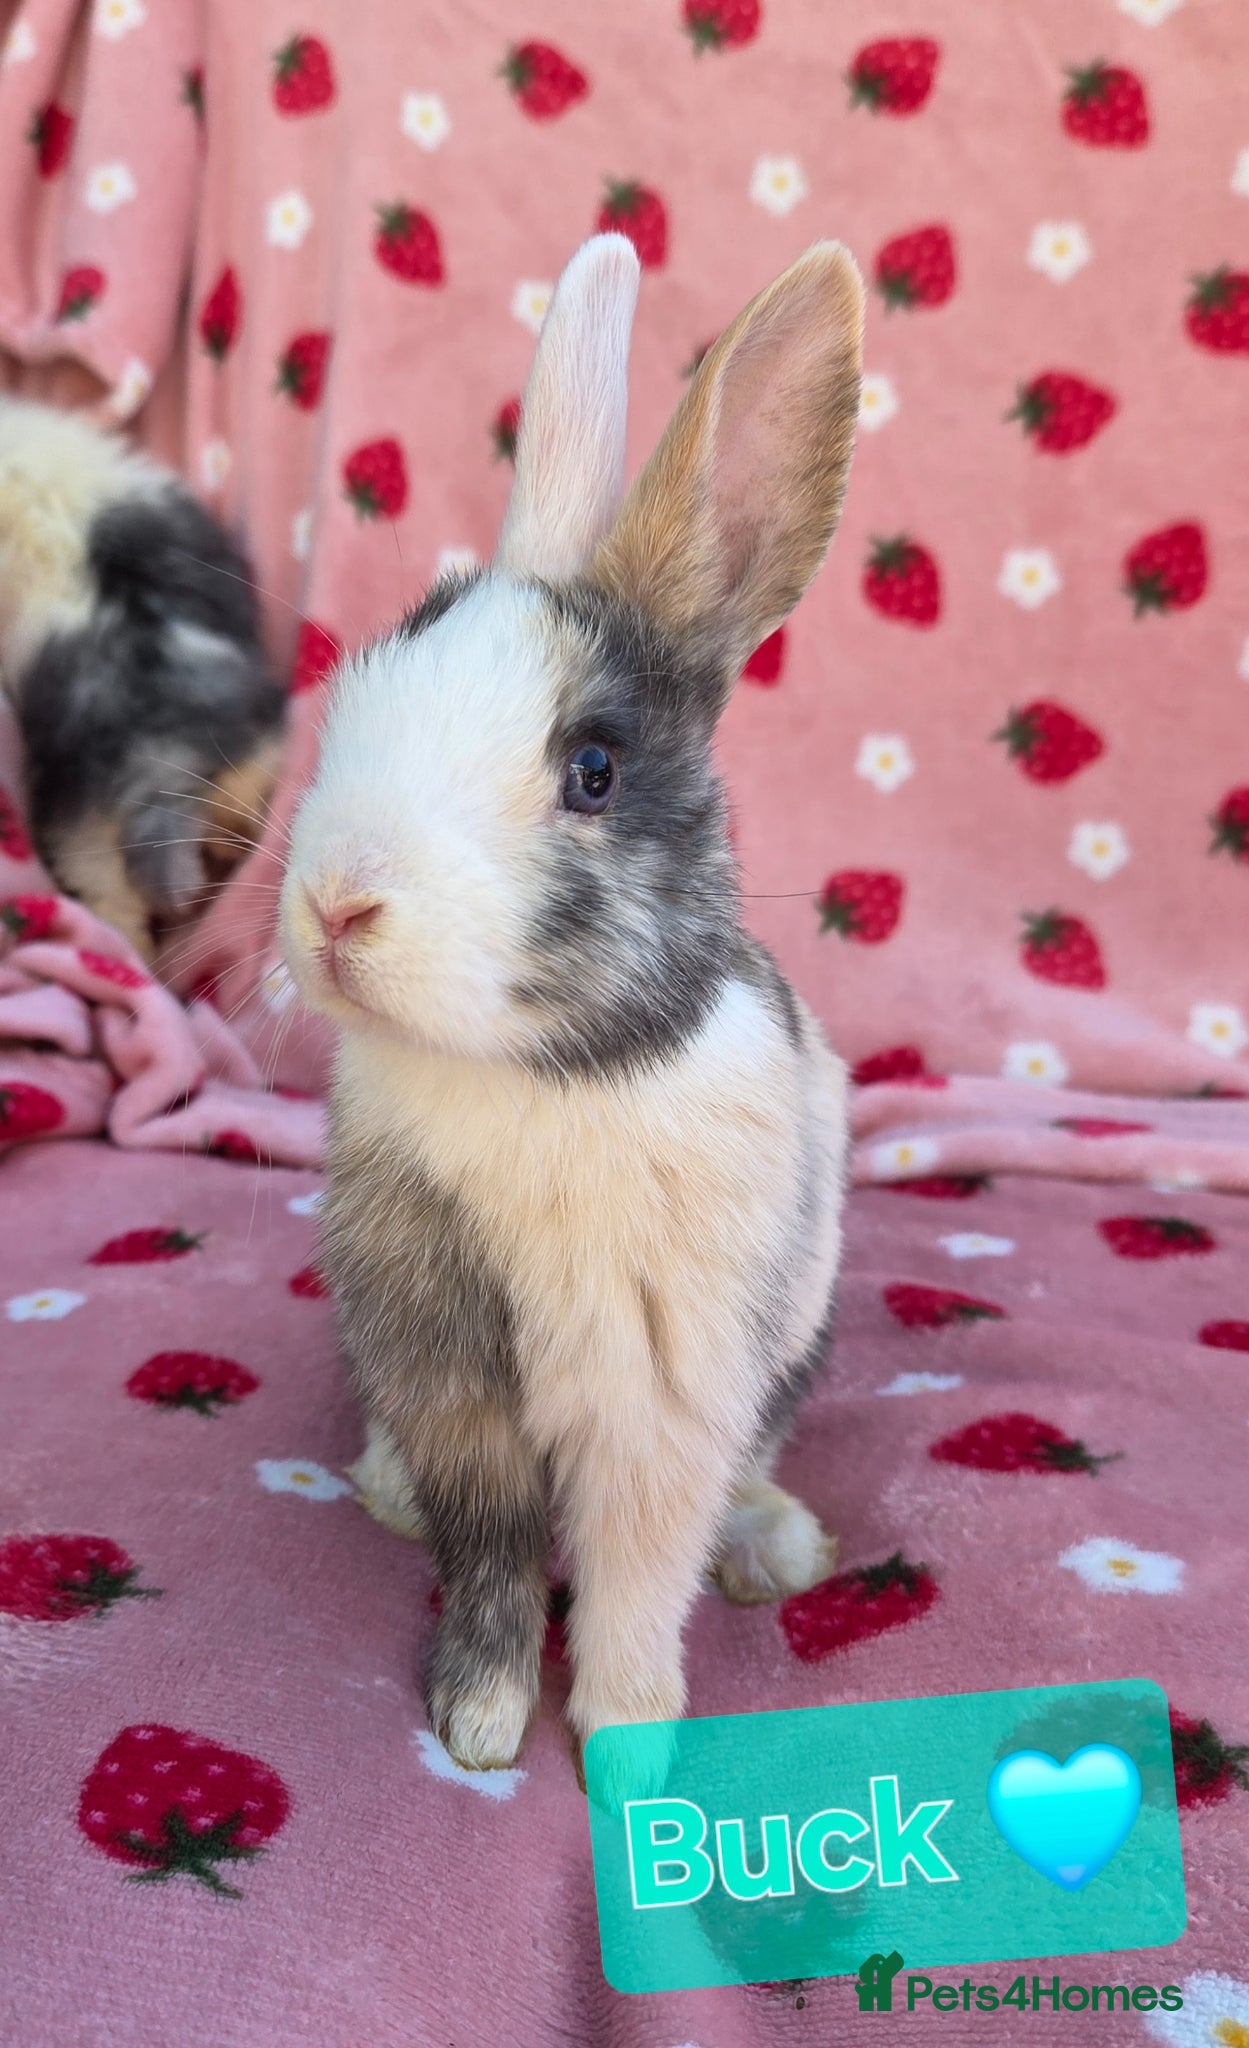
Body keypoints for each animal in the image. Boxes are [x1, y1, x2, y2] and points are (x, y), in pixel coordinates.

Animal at [279, 233, 865, 1779]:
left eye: (592, 769)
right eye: (365, 680)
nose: (335, 905)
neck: (542, 1072)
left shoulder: (664, 1390)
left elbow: (637, 1570)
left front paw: (628, 1741)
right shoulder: (448, 1366)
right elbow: (487, 1551)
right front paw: (481, 1724)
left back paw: (775, 1547)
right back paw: (380, 1491)